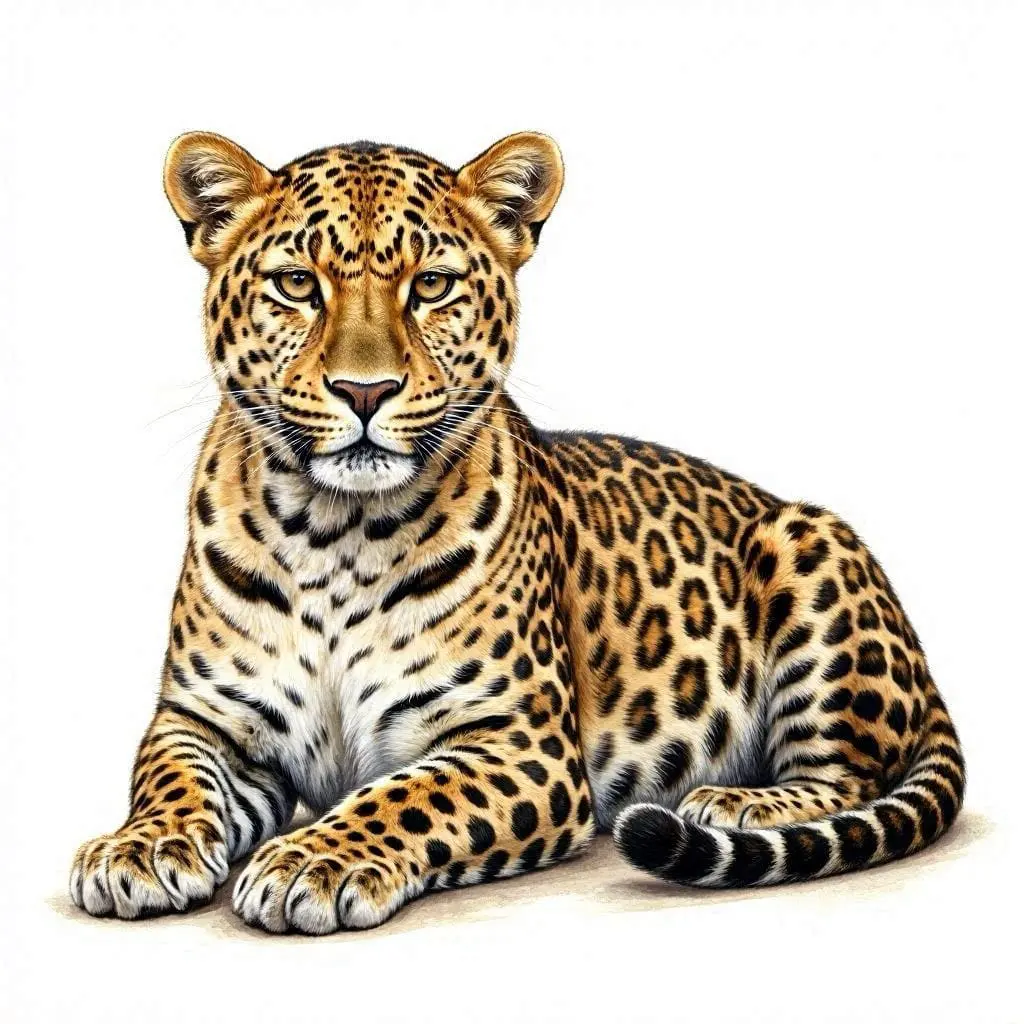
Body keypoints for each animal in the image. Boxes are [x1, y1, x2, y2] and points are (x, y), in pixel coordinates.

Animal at [70, 131, 965, 933]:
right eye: (296, 284)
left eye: (431, 285)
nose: (365, 391)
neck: (334, 532)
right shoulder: (206, 717)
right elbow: (171, 779)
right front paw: (137, 849)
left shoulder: (519, 738)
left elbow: (404, 795)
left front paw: (312, 860)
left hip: (812, 546)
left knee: (847, 780)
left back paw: (735, 804)